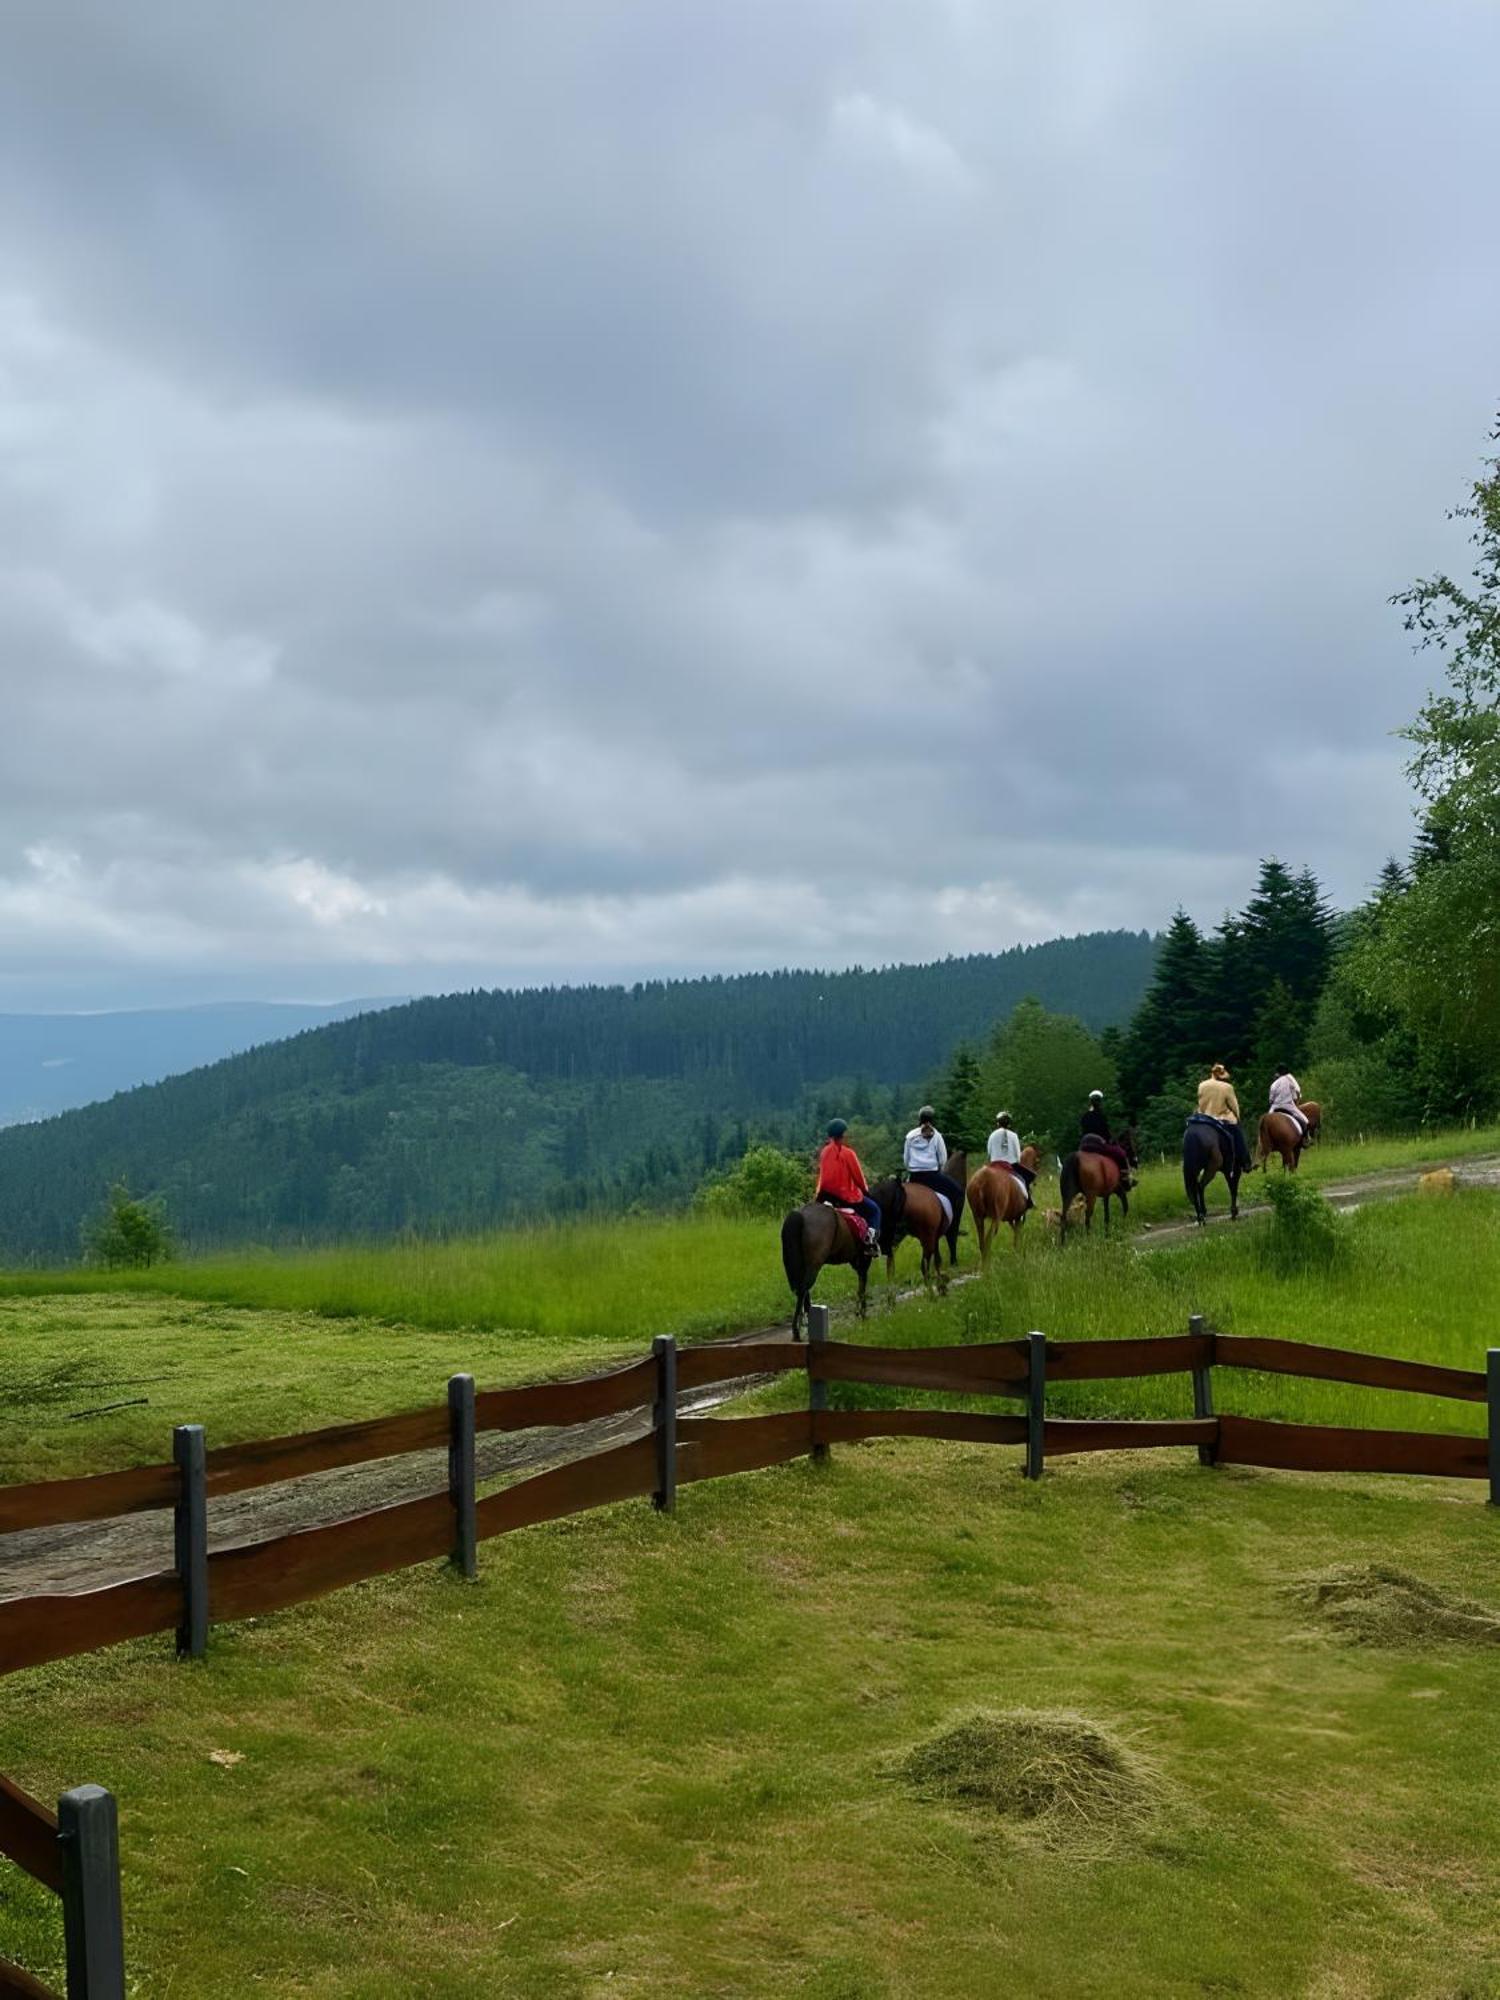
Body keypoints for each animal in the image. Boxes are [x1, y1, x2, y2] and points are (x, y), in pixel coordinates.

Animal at [780, 1192, 876, 1336]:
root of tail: (800, 1214)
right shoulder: (863, 1261)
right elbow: (862, 1287)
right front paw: (862, 1314)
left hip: (803, 1264)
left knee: (802, 1290)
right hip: (814, 1264)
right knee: (803, 1288)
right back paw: (797, 1329)